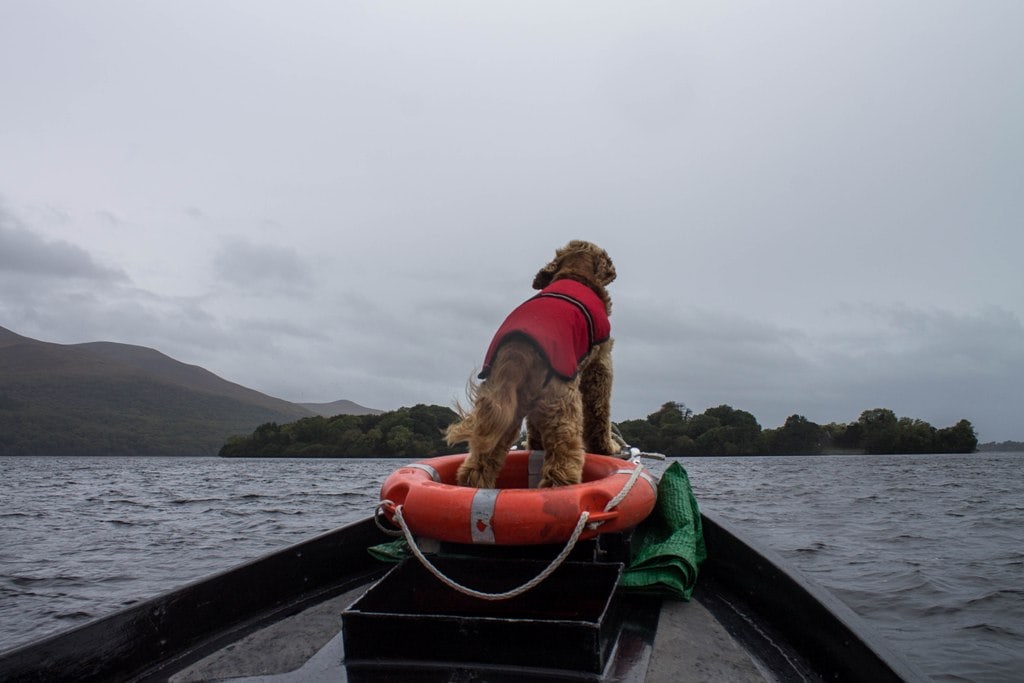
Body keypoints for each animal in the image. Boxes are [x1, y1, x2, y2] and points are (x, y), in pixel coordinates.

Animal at [446, 242, 614, 489]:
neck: (575, 272)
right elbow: (599, 413)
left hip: (504, 411)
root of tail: (517, 351)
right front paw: (606, 448)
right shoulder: (600, 364)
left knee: (477, 465)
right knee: (561, 464)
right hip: (563, 406)